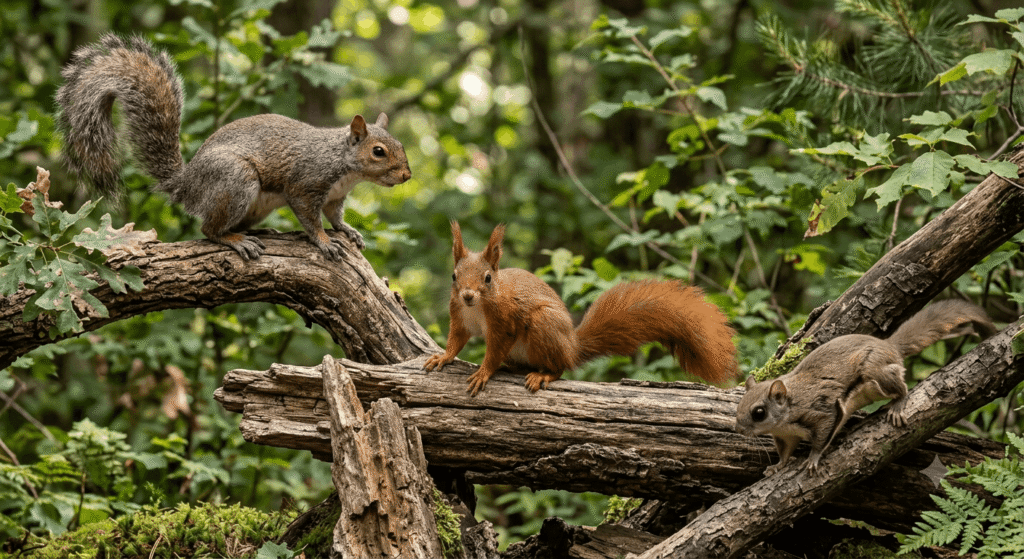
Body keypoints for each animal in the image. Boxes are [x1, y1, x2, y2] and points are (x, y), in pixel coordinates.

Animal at [55, 34, 411, 261]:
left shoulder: (335, 197)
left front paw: (348, 231)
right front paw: (325, 242)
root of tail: (187, 186)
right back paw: (237, 240)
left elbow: (335, 217)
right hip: (235, 179)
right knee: (209, 229)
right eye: (378, 151)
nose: (407, 176)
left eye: (400, 145)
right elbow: (311, 220)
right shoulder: (306, 184)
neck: (344, 166)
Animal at [423, 220, 739, 396]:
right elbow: (456, 340)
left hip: (545, 325)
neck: (478, 308)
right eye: (454, 276)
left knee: (560, 368)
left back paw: (543, 374)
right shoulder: (459, 317)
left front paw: (484, 371)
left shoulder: (504, 322)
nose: (467, 295)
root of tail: (572, 346)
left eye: (488, 278)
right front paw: (443, 357)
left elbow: (495, 349)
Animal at [735, 299, 995, 476]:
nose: (738, 430)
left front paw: (813, 459)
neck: (788, 410)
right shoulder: (785, 436)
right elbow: (785, 453)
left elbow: (821, 437)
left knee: (901, 385)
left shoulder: (820, 411)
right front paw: (777, 467)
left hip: (875, 372)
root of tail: (889, 347)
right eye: (738, 407)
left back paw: (898, 404)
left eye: (759, 413)